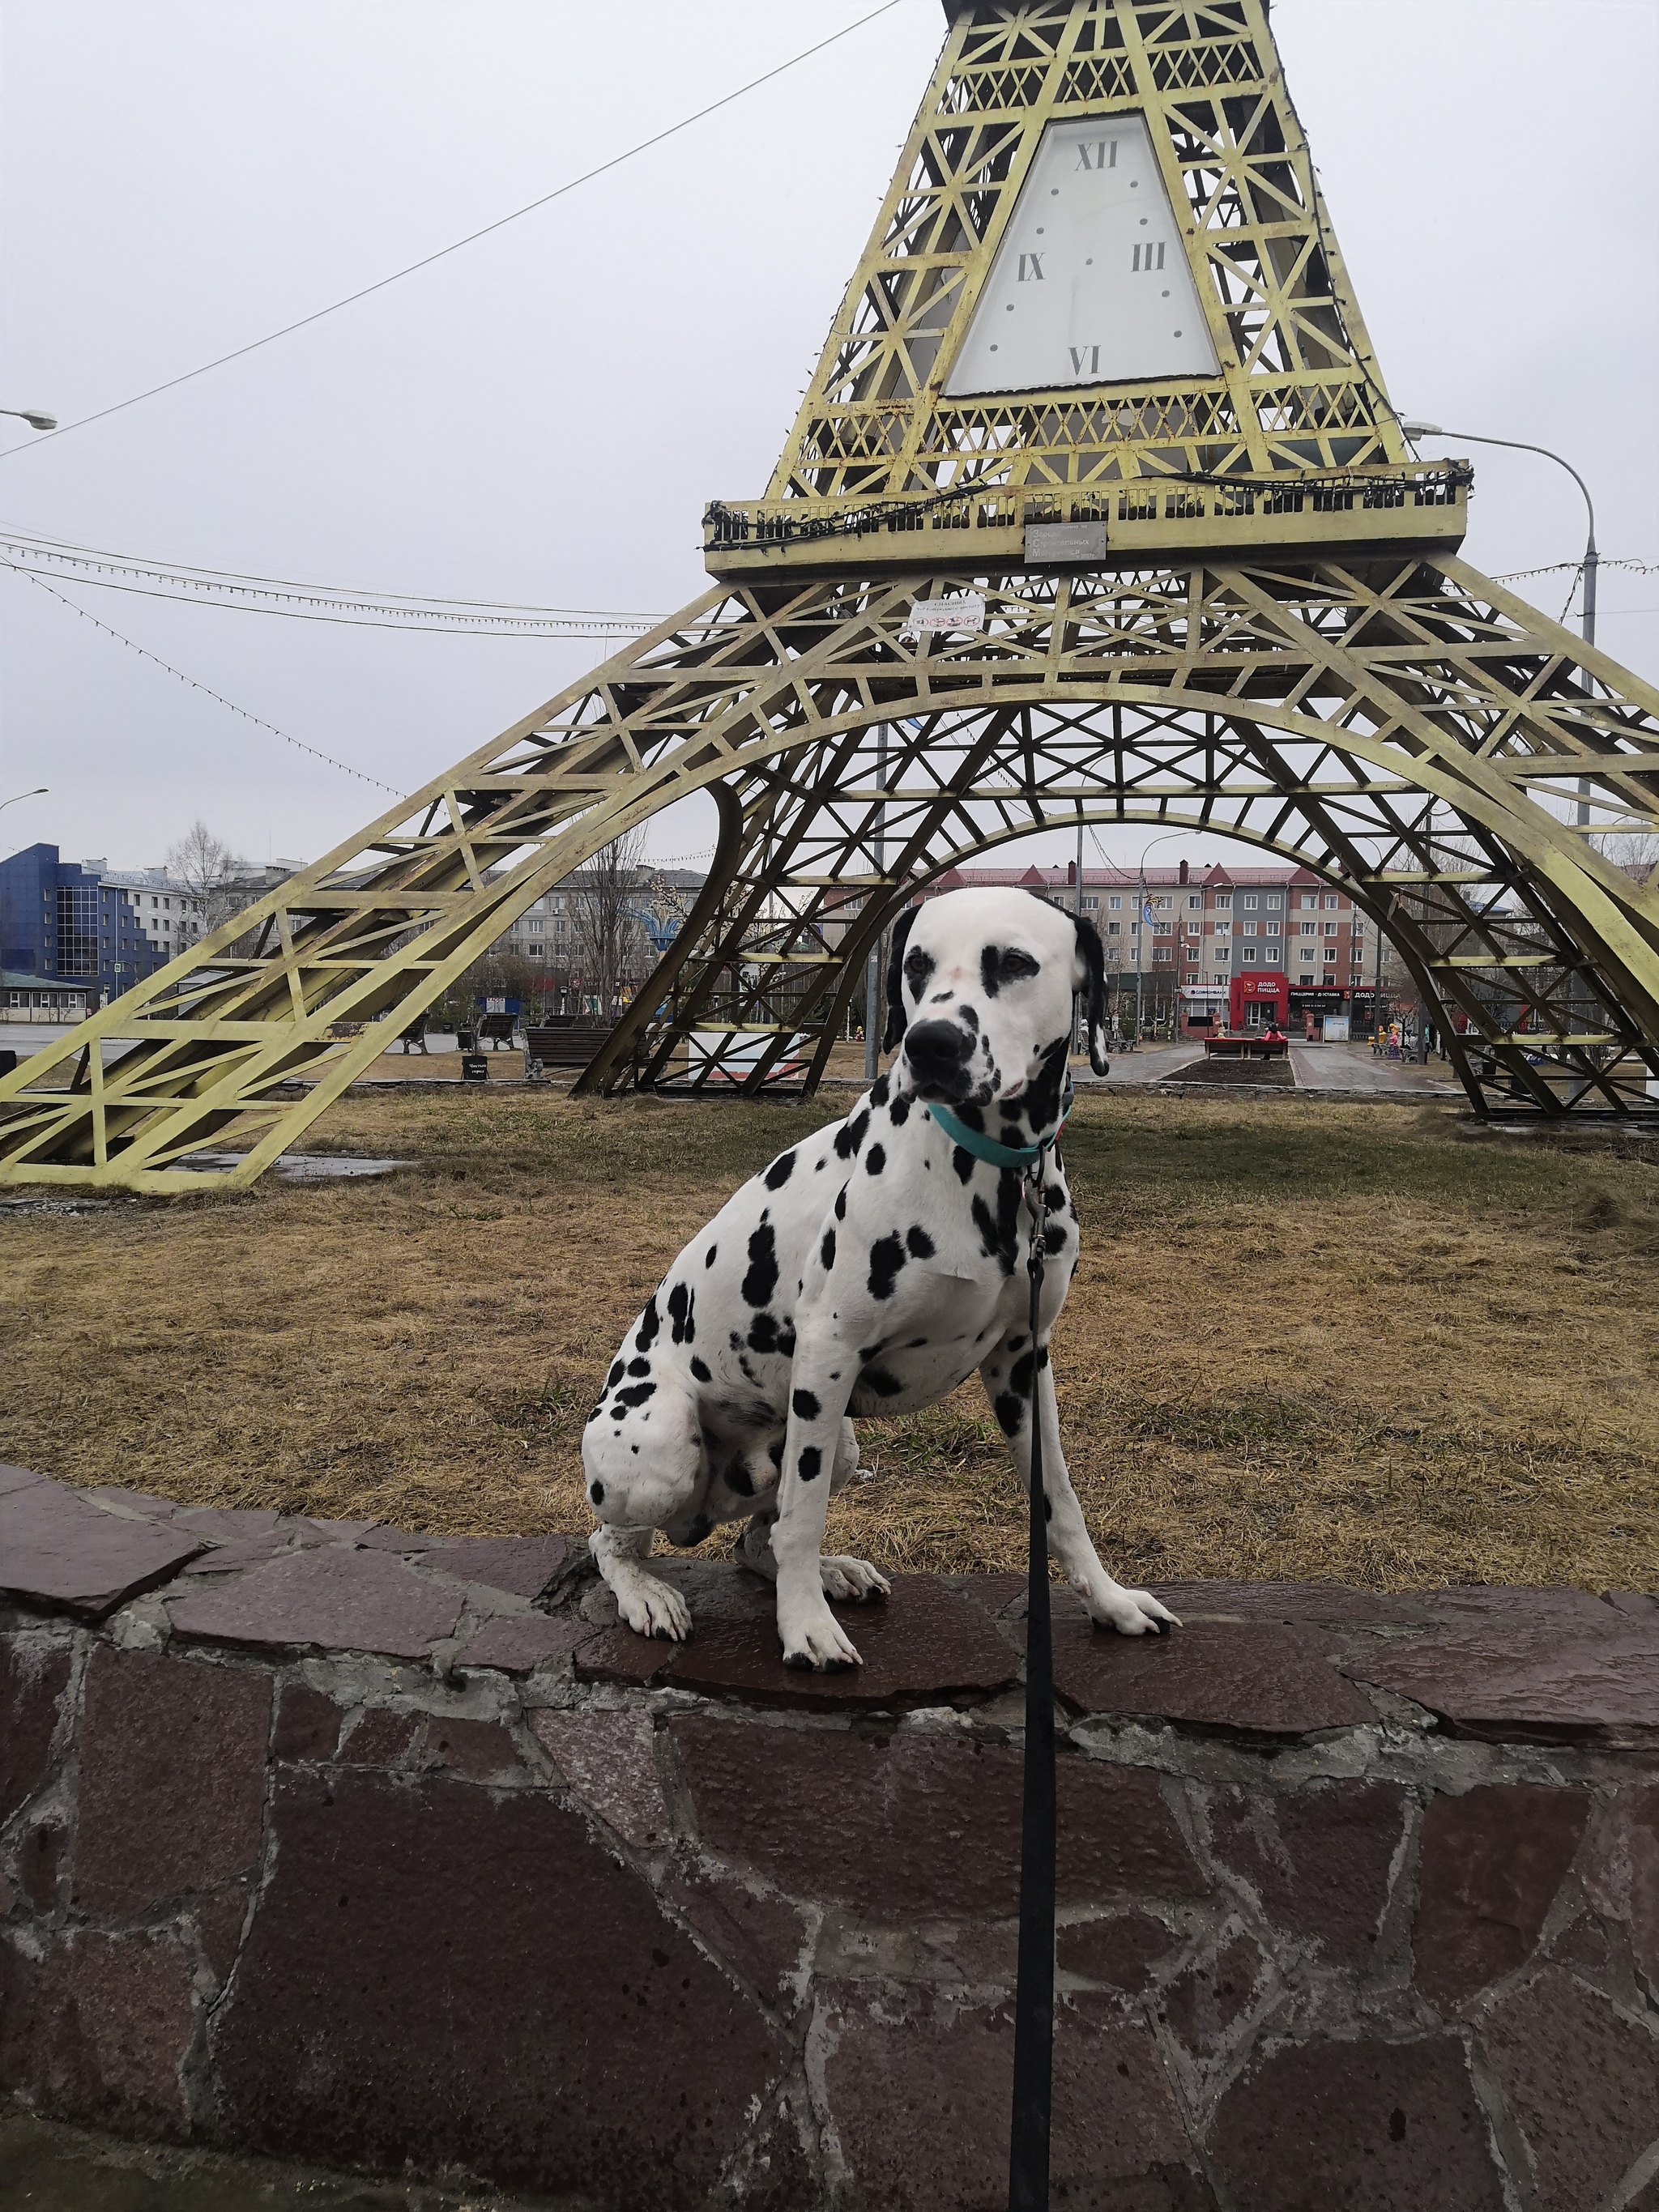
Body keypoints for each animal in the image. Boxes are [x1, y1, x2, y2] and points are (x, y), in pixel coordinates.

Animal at [583, 880, 1185, 1663]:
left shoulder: (1023, 1362)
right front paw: (803, 1625)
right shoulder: (829, 1352)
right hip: (664, 1442)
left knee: (756, 1539)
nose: (931, 1042)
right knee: (614, 1540)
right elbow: (803, 1515)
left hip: (839, 1442)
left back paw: (832, 1571)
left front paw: (1109, 1600)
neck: (994, 1169)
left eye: (1015, 961)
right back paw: (648, 1594)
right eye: (916, 964)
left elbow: (1059, 1500)